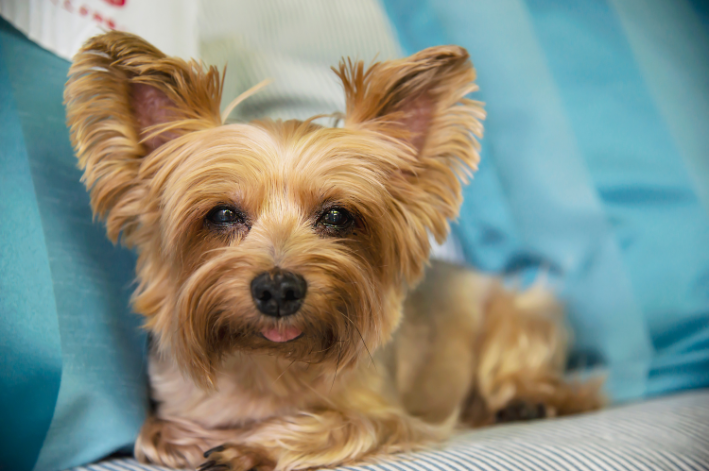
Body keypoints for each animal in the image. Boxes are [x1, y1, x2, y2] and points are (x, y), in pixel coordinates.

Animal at [63, 31, 600, 470]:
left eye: (337, 216)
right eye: (222, 214)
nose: (279, 288)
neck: (267, 363)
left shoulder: (388, 415)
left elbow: (340, 422)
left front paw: (253, 446)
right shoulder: (172, 401)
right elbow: (155, 433)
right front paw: (196, 438)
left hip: (522, 314)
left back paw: (528, 399)